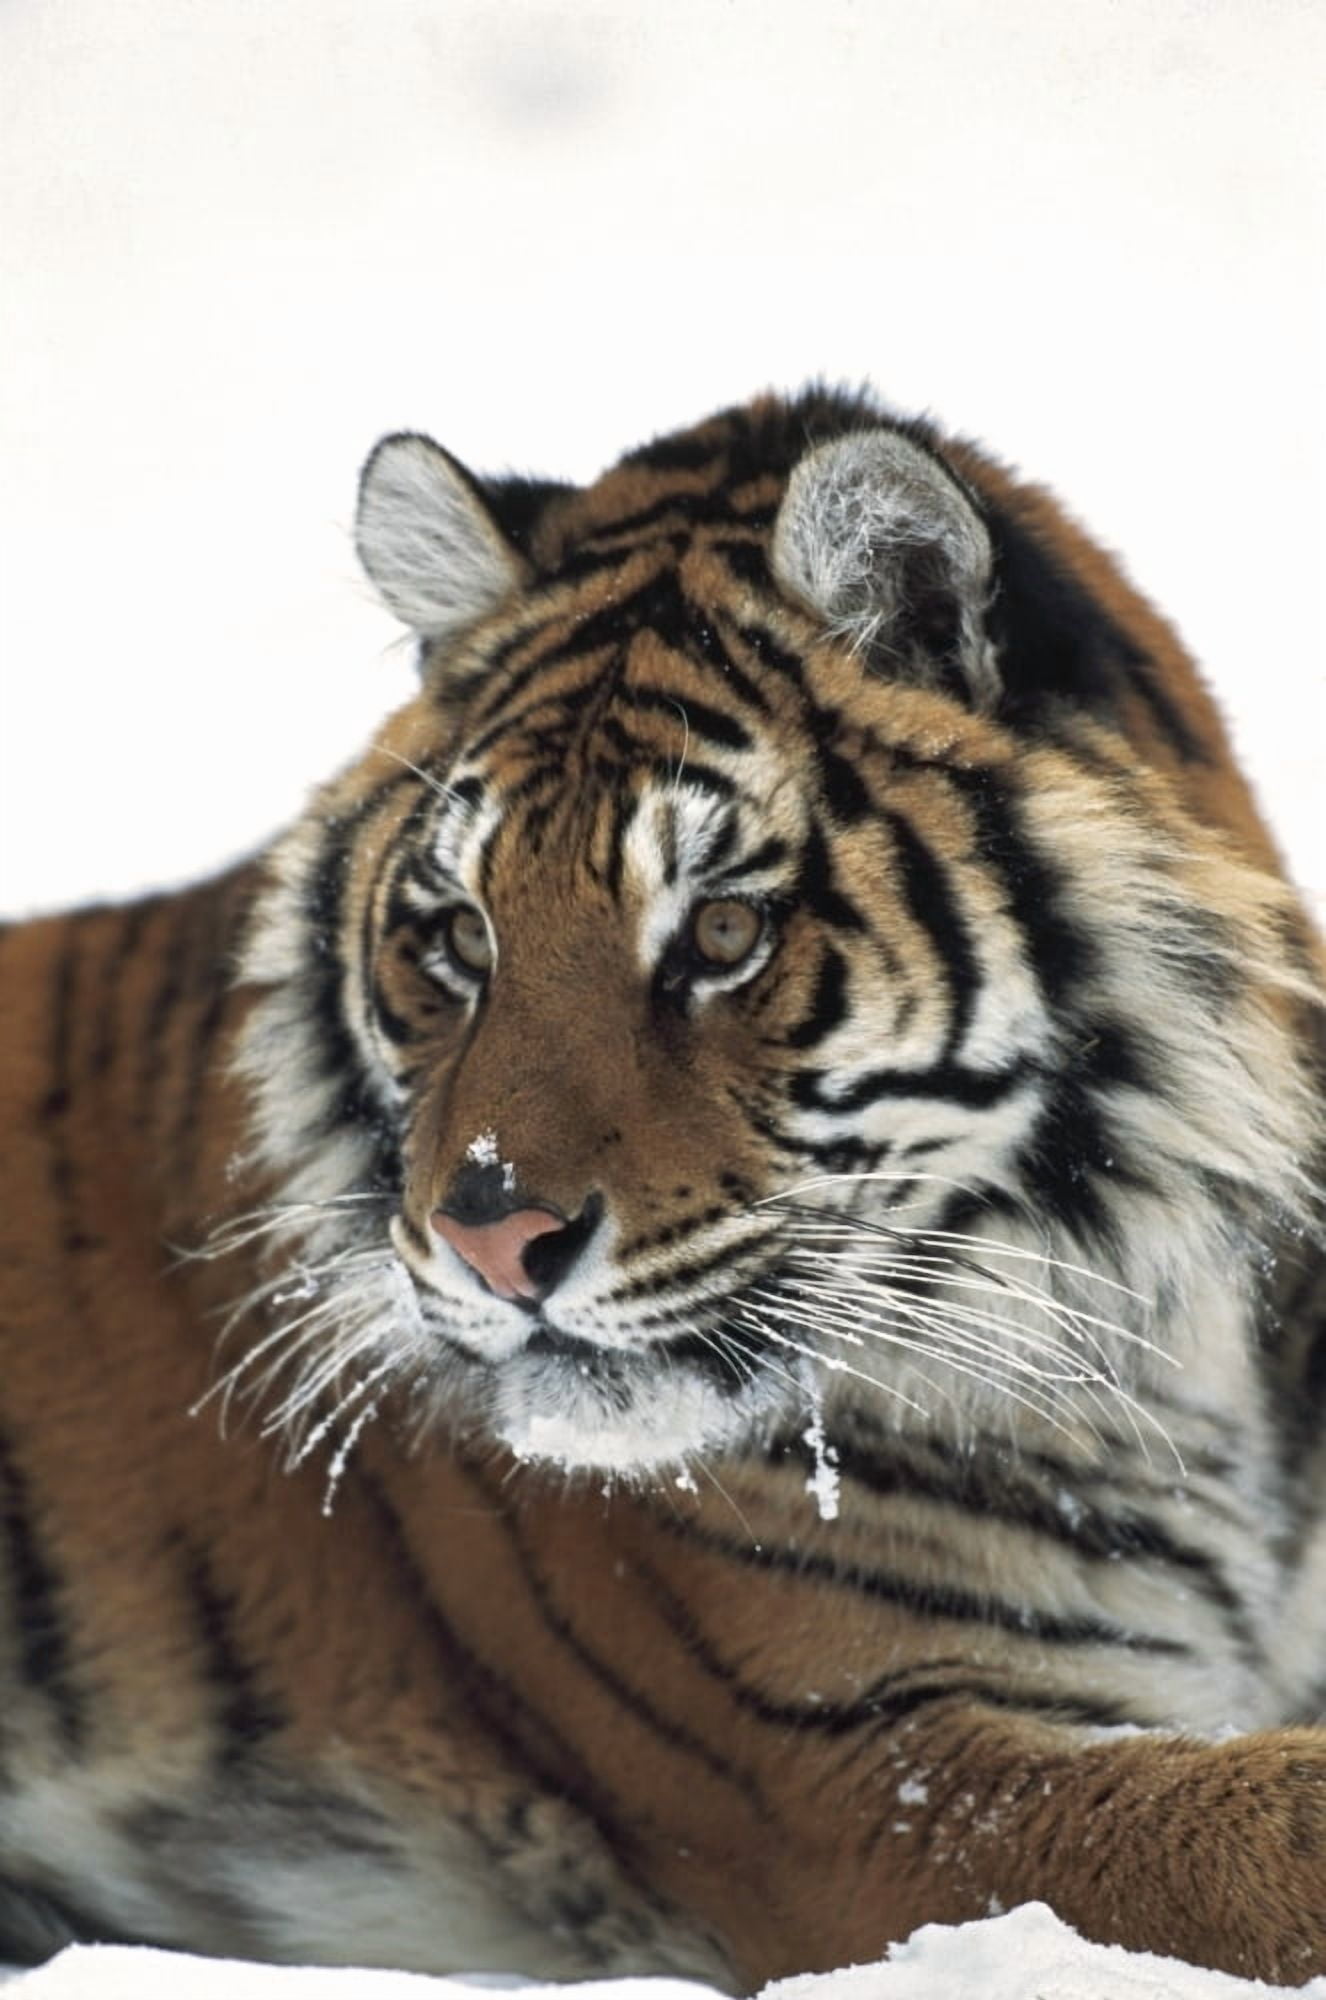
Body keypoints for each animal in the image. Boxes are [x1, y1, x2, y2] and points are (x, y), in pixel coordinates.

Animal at [0, 388, 1323, 1992]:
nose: (492, 1237)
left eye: (723, 933)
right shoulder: (863, 1779)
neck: (1182, 1342)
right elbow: (1264, 1826)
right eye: (461, 936)